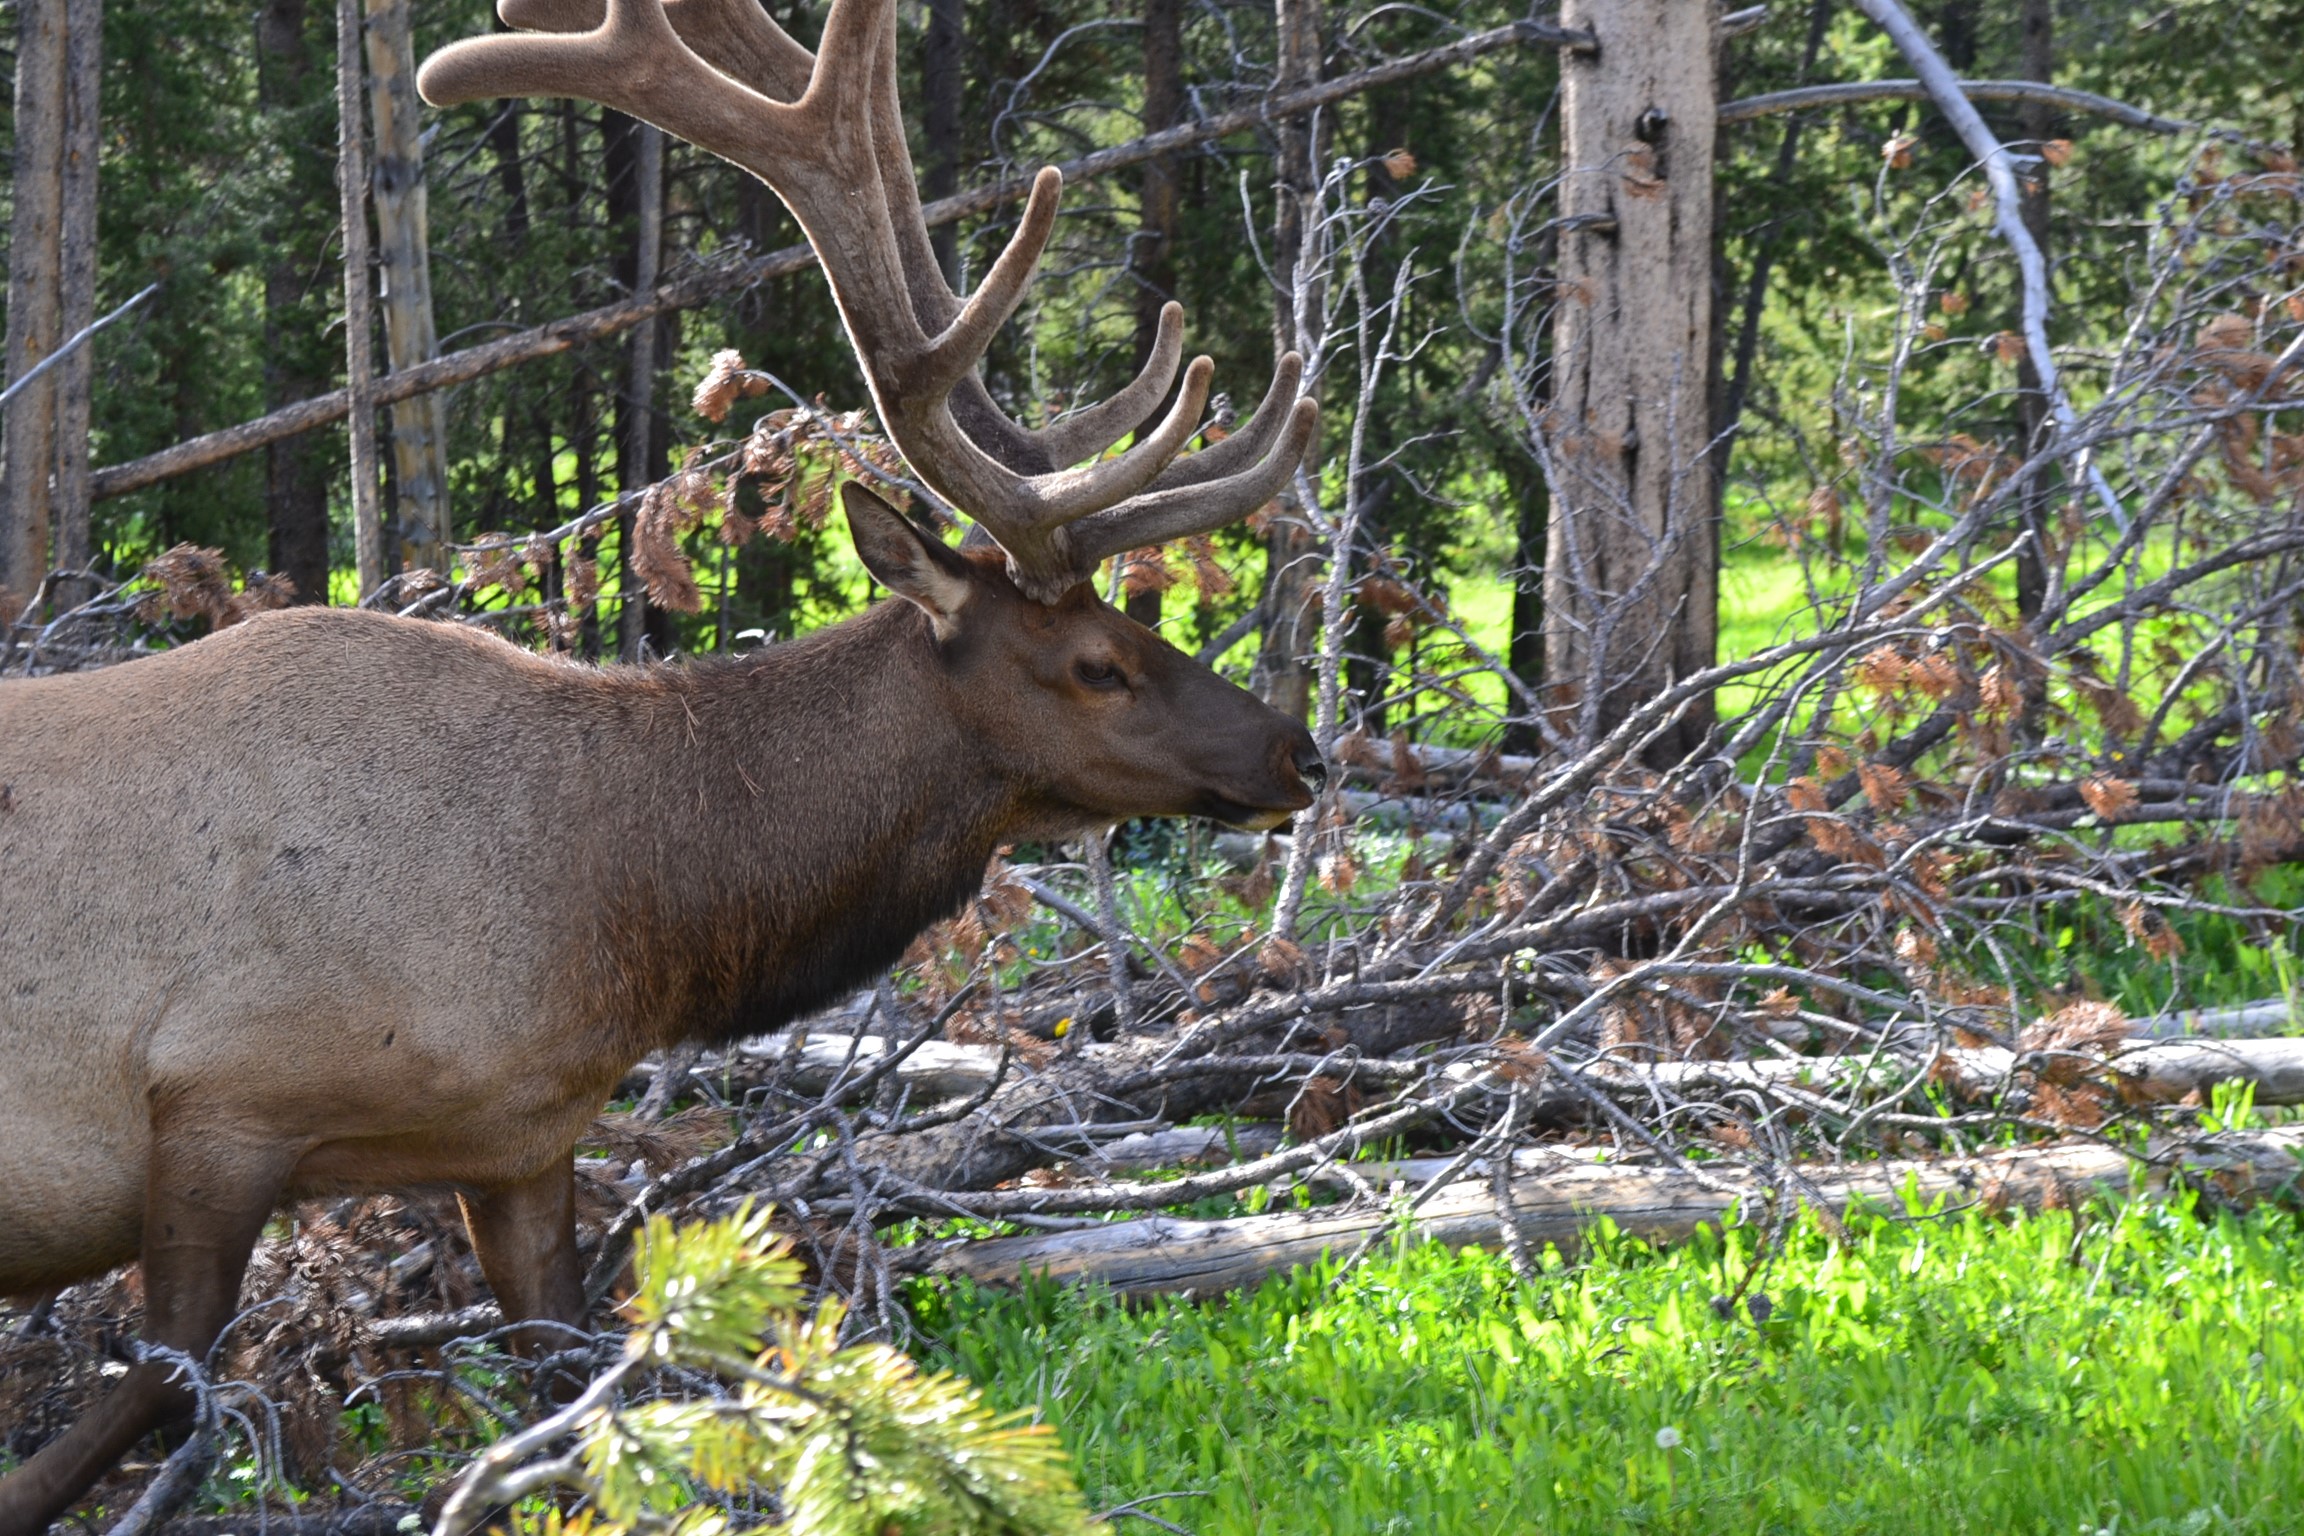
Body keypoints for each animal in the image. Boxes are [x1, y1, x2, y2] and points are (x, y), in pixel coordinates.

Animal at [0, 0, 1322, 1527]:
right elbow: (158, 1382)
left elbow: (567, 1385)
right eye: (1098, 661)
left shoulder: (519, 1141)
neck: (617, 903)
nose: (1299, 749)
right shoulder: (216, 1097)